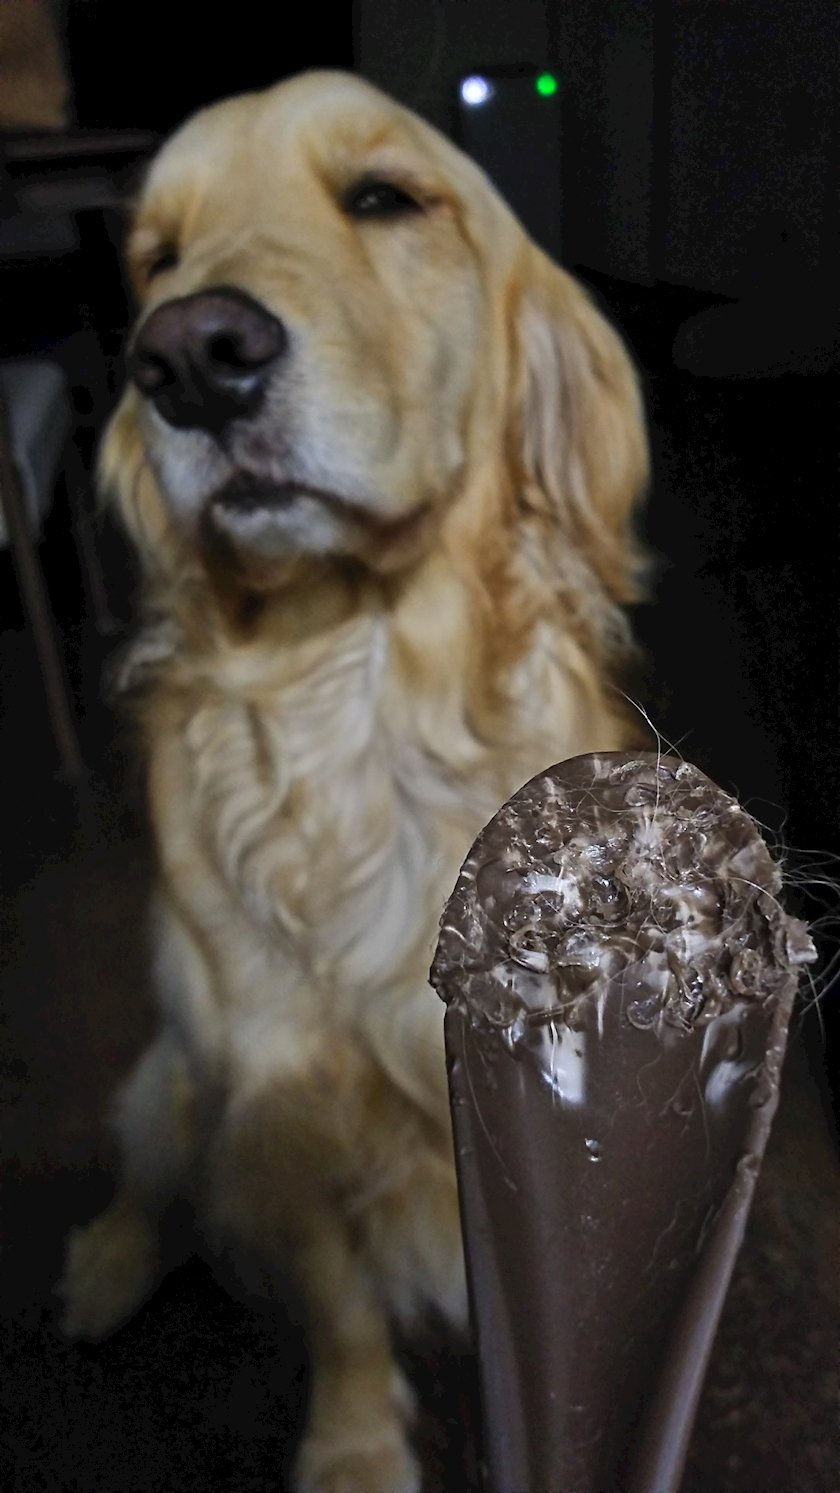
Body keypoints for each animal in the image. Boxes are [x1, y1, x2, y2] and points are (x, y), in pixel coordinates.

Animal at [59, 70, 649, 1493]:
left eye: (384, 196)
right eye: (158, 258)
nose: (187, 356)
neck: (368, 701)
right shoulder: (281, 1078)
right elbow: (336, 1296)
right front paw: (353, 1447)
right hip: (177, 1063)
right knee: (157, 1173)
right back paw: (105, 1263)